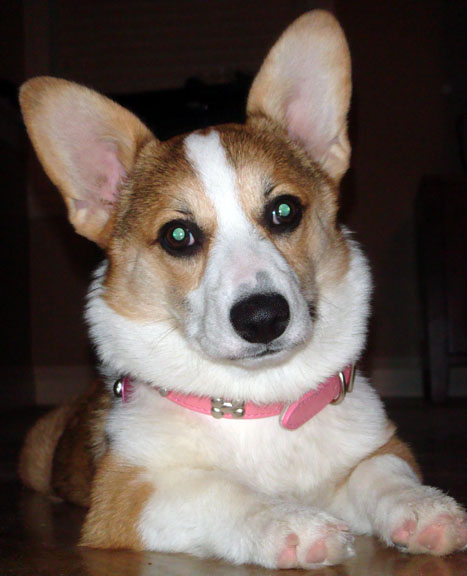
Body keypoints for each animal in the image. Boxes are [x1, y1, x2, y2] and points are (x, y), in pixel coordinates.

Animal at [18, 10, 466, 569]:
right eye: (178, 235)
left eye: (284, 211)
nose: (263, 319)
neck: (258, 402)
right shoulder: (128, 497)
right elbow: (221, 492)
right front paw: (289, 523)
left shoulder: (380, 448)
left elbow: (383, 475)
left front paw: (424, 508)